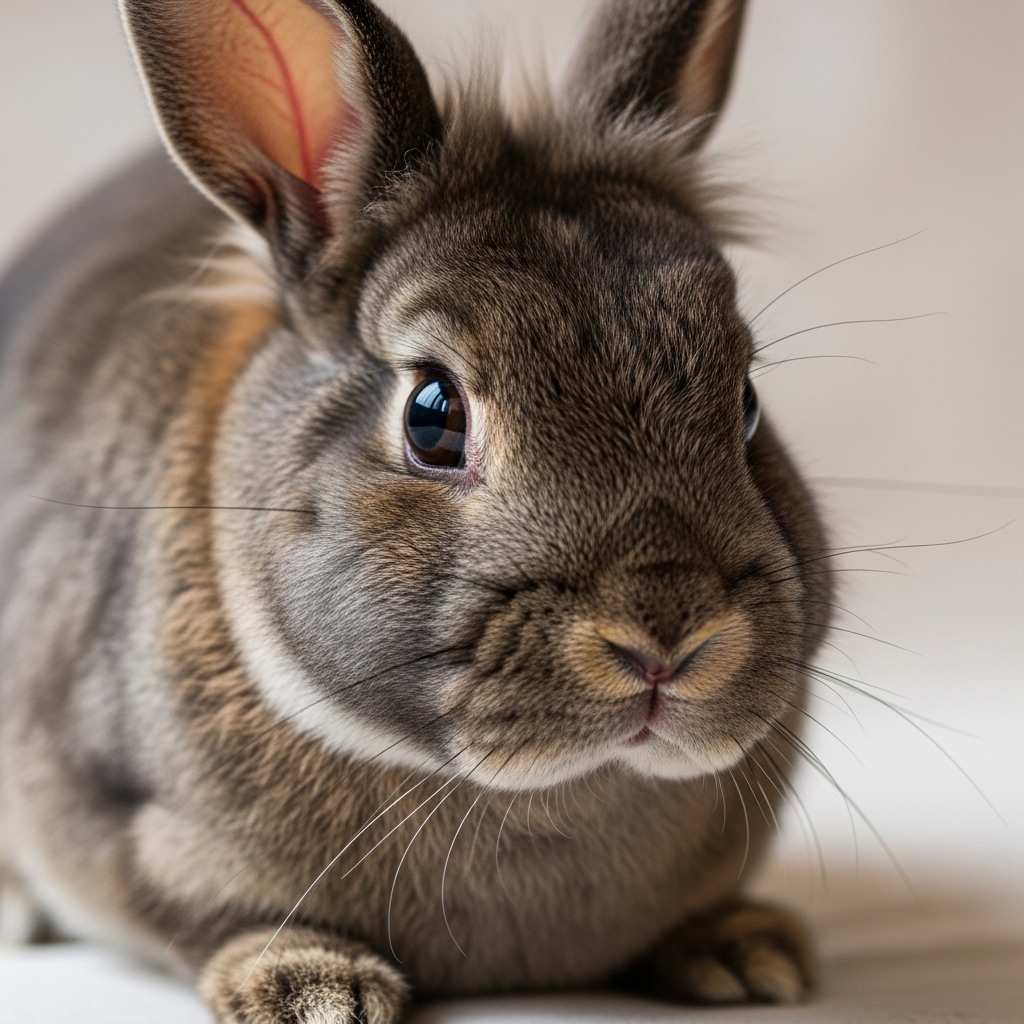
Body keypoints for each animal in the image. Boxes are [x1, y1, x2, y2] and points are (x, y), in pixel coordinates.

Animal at [0, 0, 832, 1020]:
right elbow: (209, 919)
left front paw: (749, 957)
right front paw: (316, 990)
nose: (667, 632)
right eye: (433, 417)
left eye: (745, 402)